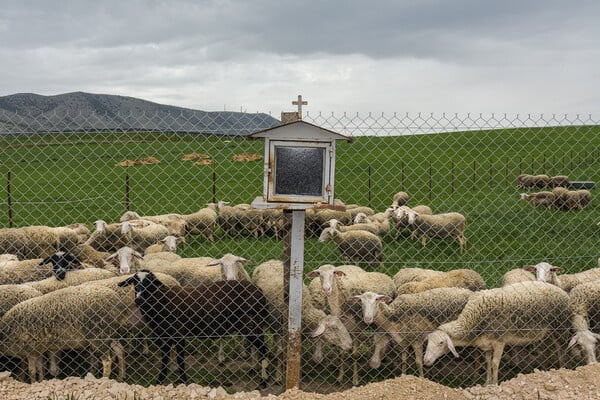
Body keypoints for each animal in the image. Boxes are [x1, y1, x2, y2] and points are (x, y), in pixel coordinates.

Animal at [118, 270, 272, 386]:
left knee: (263, 349)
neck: (162, 301)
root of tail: (259, 291)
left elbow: (180, 359)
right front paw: (160, 381)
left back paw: (264, 381)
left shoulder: (179, 333)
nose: (138, 300)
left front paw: (183, 381)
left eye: (150, 283)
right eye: (134, 282)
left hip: (251, 323)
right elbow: (165, 359)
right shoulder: (166, 335)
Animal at [422, 280, 572, 386]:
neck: (473, 320)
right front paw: (487, 383)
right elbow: (488, 362)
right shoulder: (486, 344)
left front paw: (494, 384)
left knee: (561, 348)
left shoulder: (500, 341)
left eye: (441, 343)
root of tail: (561, 290)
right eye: (428, 342)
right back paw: (546, 368)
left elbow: (495, 363)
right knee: (548, 348)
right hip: (547, 331)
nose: (426, 361)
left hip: (560, 327)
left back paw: (563, 368)